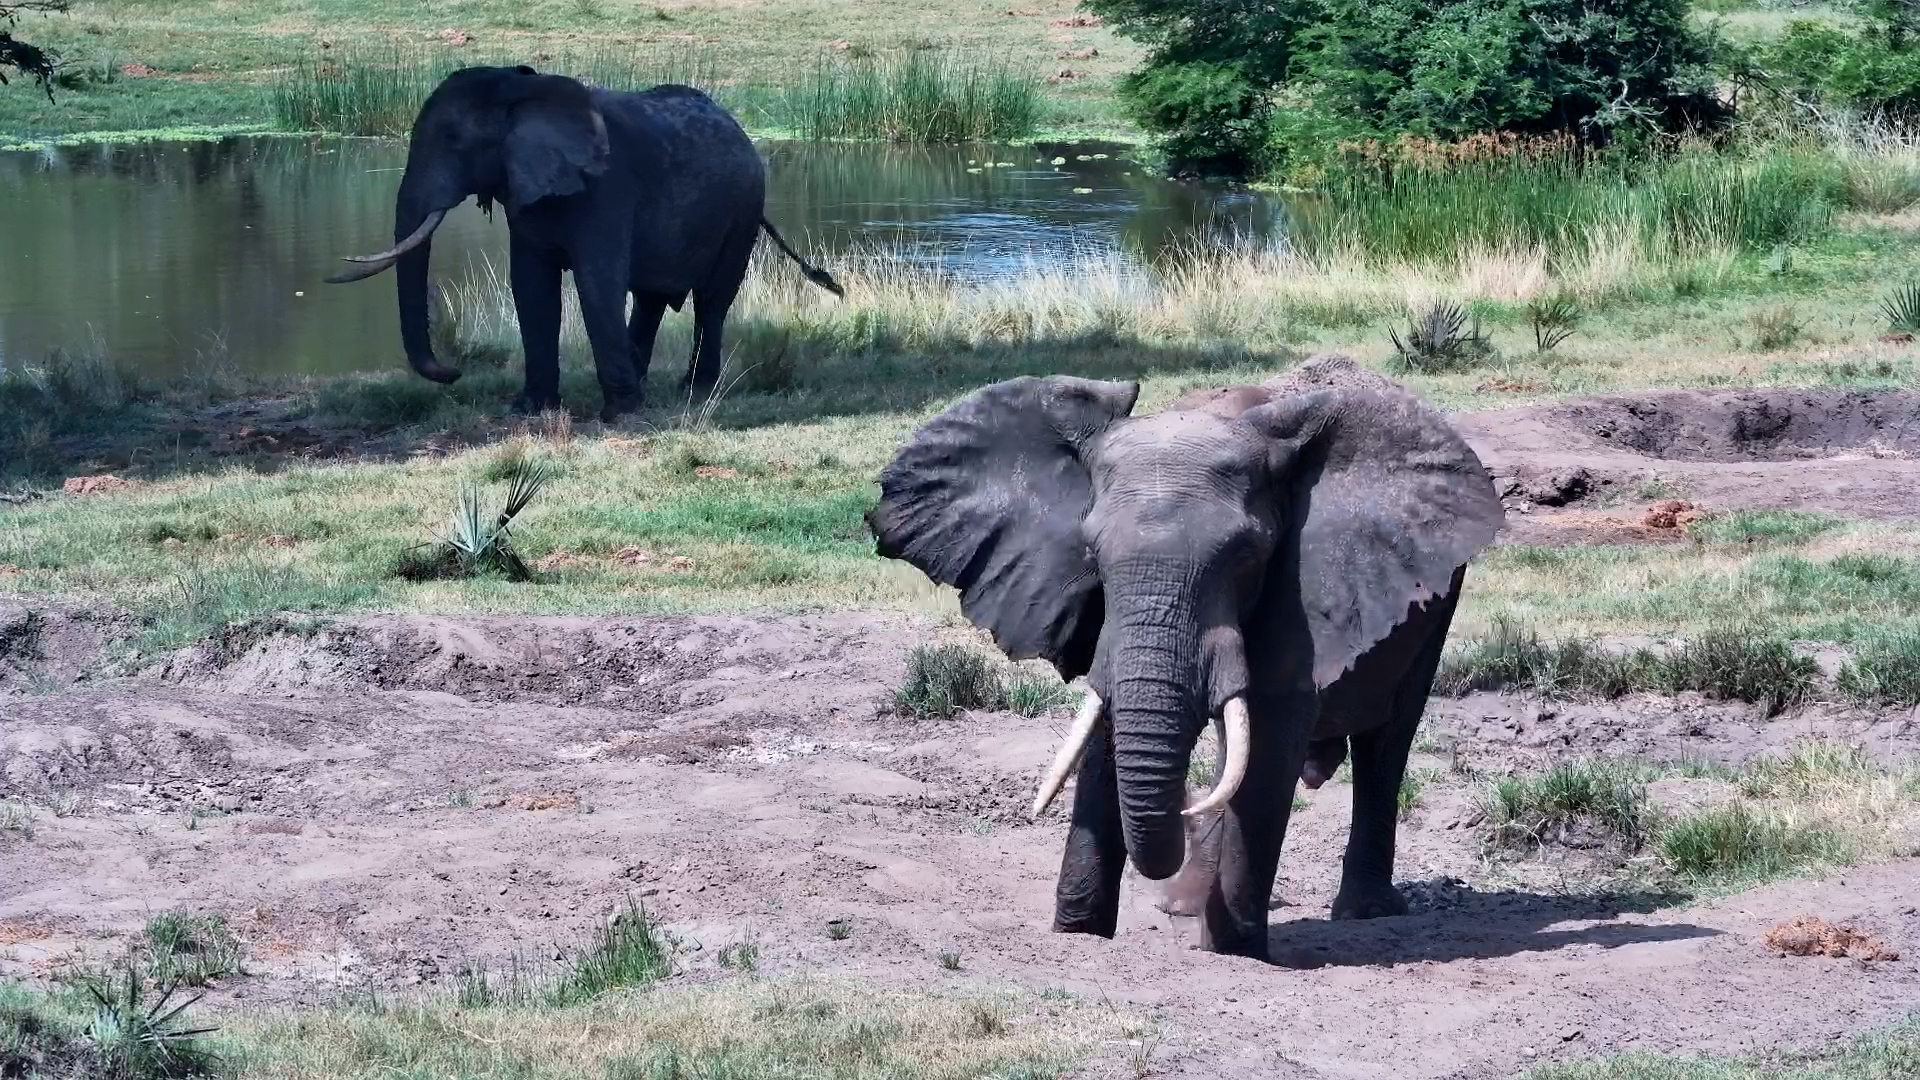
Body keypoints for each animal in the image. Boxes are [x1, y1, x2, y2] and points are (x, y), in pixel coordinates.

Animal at [325, 65, 843, 422]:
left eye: (454, 140)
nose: (452, 373)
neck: (522, 92)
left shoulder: (606, 191)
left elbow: (597, 284)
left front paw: (617, 415)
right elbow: (531, 288)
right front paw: (530, 409)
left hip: (742, 210)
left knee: (712, 301)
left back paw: (694, 391)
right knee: (653, 298)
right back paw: (643, 378)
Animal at [865, 373, 1502, 958]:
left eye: (1246, 556)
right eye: (1091, 552)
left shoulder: (1305, 581)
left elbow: (1268, 731)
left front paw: (1238, 951)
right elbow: (1110, 726)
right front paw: (1080, 933)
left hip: (1440, 593)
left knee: (1386, 742)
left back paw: (1361, 912)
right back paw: (1186, 906)